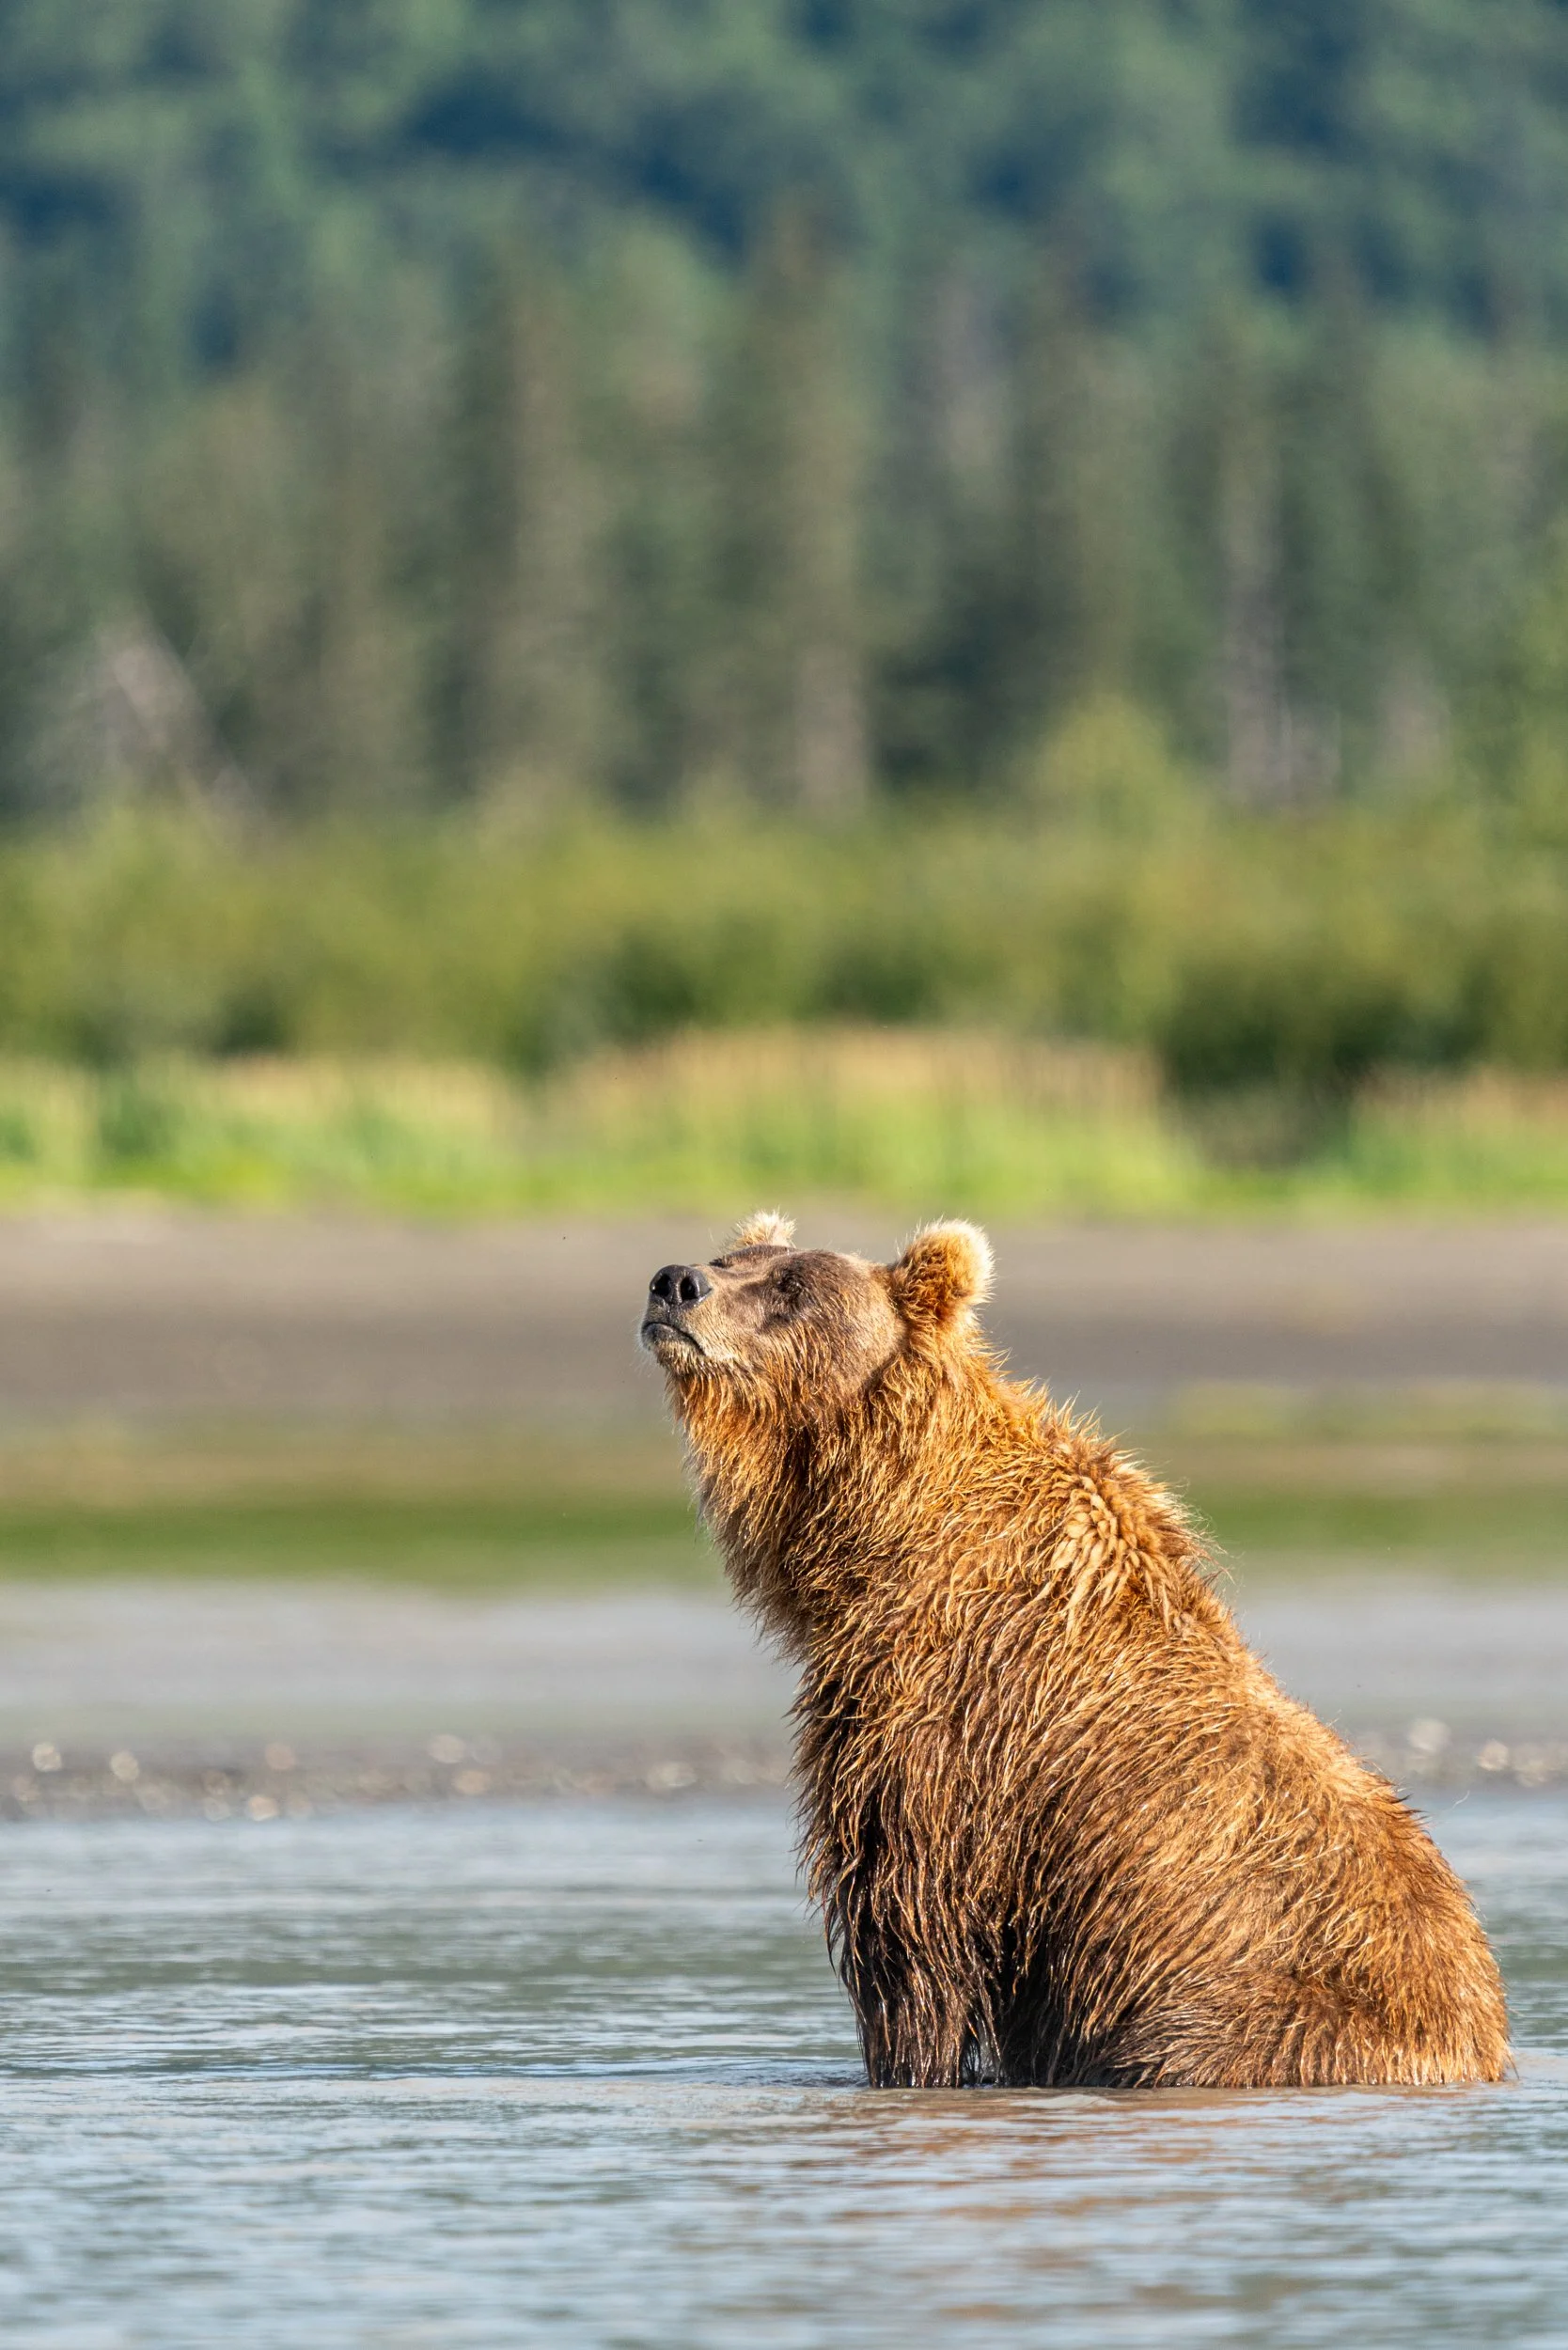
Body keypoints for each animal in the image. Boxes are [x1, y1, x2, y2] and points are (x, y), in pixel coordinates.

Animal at [641, 1210, 1509, 2091]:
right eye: (730, 1255)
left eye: (793, 1287)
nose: (675, 1283)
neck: (881, 1526)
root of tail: (1483, 2035)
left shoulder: (944, 1724)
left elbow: (908, 1929)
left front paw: (906, 2072)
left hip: (1264, 2020)